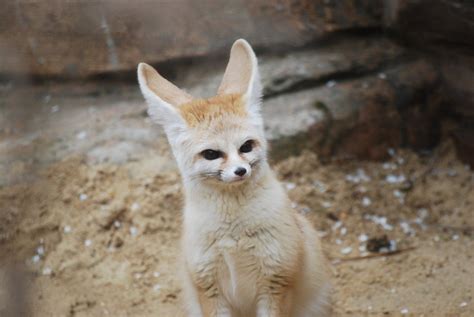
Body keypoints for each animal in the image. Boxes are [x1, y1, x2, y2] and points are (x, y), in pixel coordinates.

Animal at [137, 38, 330, 314]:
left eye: (246, 147)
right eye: (211, 154)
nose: (241, 171)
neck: (233, 235)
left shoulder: (276, 283)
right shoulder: (209, 289)